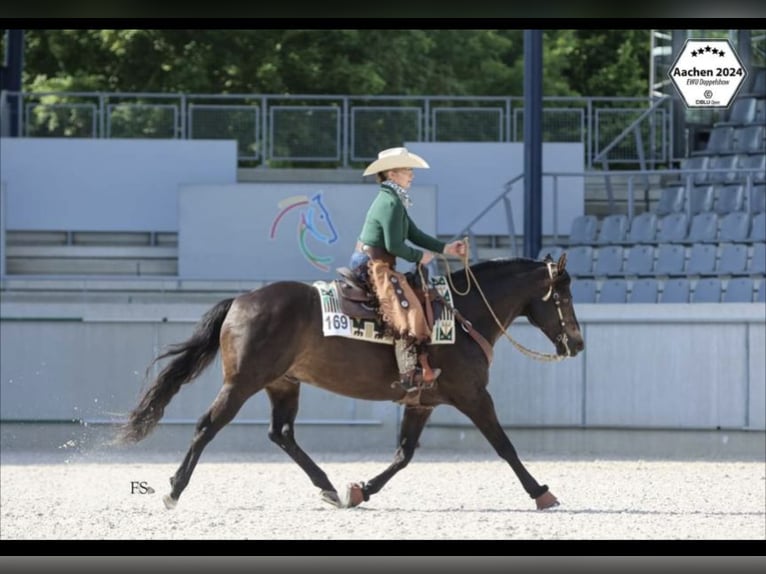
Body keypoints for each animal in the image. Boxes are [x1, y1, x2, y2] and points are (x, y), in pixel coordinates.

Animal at [117, 255, 584, 512]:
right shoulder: (474, 396)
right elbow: (505, 446)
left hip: (282, 384)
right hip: (241, 384)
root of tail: (242, 300)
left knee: (281, 433)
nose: (577, 343)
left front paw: (361, 490)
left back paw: (327, 487)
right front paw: (542, 492)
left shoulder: (422, 402)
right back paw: (174, 489)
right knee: (206, 426)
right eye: (563, 296)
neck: (463, 316)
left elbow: (403, 455)